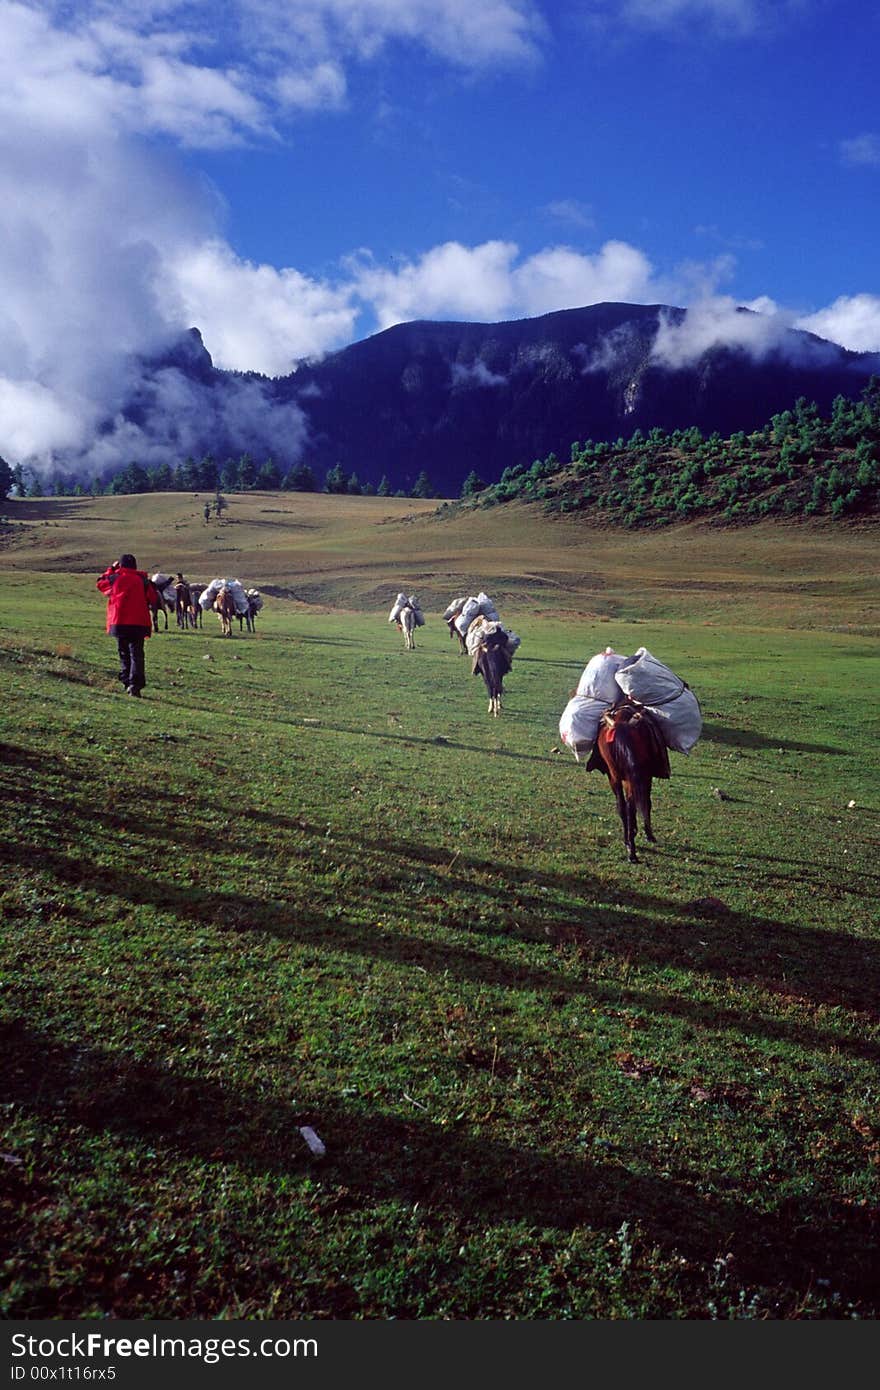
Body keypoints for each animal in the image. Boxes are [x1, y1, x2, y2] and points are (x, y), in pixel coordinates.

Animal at [586, 706, 670, 856]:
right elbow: (645, 803)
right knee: (630, 805)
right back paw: (631, 845)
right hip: (626, 777)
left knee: (624, 806)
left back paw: (629, 844)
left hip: (617, 776)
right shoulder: (644, 777)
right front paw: (648, 835)